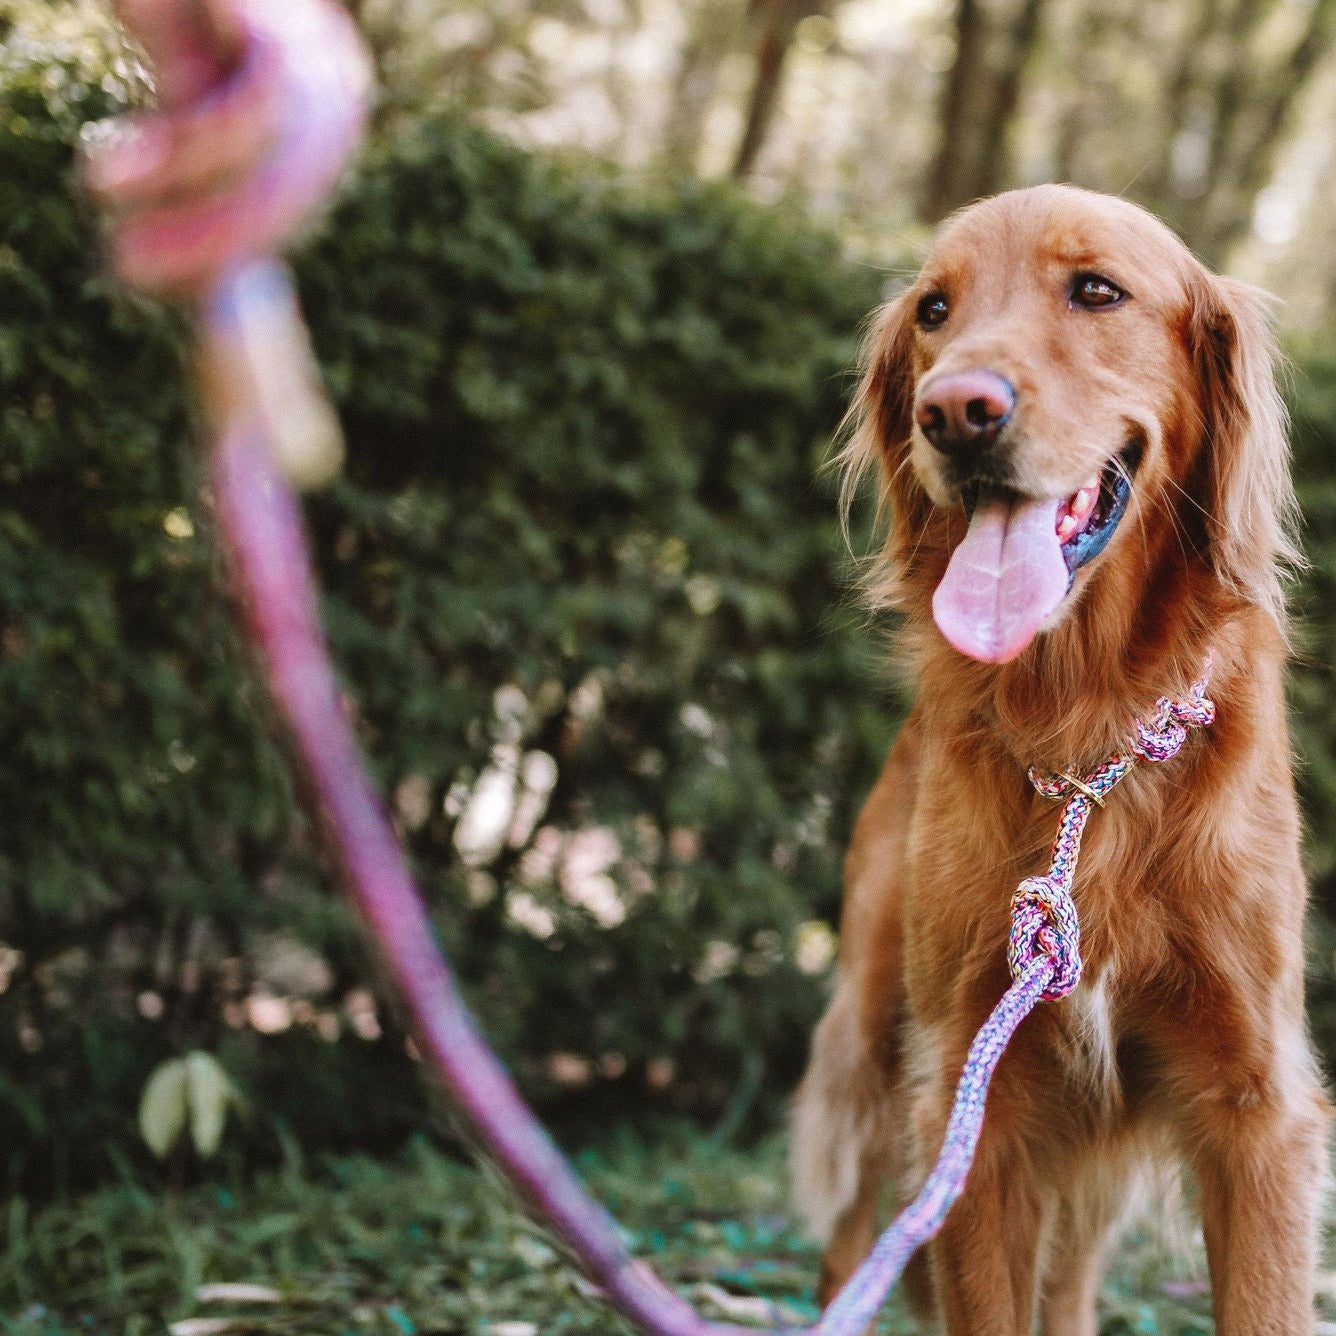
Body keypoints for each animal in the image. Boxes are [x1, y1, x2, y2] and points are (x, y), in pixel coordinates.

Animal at [790, 188, 1325, 1336]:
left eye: (1096, 291)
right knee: (851, 1237)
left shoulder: (1254, 1105)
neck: (1088, 741)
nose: (952, 411)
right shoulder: (973, 1102)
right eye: (934, 310)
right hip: (873, 1033)